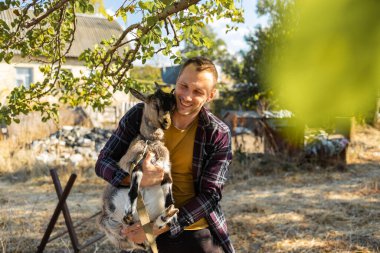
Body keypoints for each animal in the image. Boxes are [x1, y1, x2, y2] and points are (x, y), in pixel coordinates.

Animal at [99, 85, 180, 253]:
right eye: (155, 104)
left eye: (173, 107)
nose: (166, 122)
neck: (150, 142)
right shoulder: (132, 164)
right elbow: (134, 185)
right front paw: (128, 212)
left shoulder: (165, 169)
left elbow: (168, 188)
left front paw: (173, 215)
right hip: (109, 225)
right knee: (133, 238)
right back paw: (130, 219)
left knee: (152, 230)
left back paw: (167, 216)